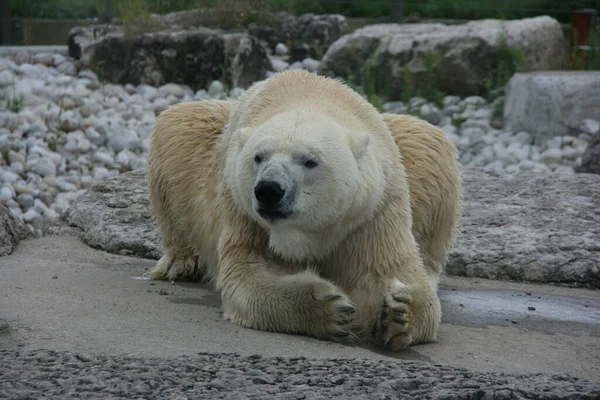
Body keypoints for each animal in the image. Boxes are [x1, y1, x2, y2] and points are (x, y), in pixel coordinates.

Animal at [148, 70, 462, 352]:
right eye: (258, 156)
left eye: (310, 161)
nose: (269, 190)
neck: (309, 96)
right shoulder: (243, 212)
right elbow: (249, 274)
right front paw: (331, 309)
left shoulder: (373, 209)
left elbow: (386, 270)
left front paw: (399, 313)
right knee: (178, 127)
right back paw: (182, 262)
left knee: (429, 142)